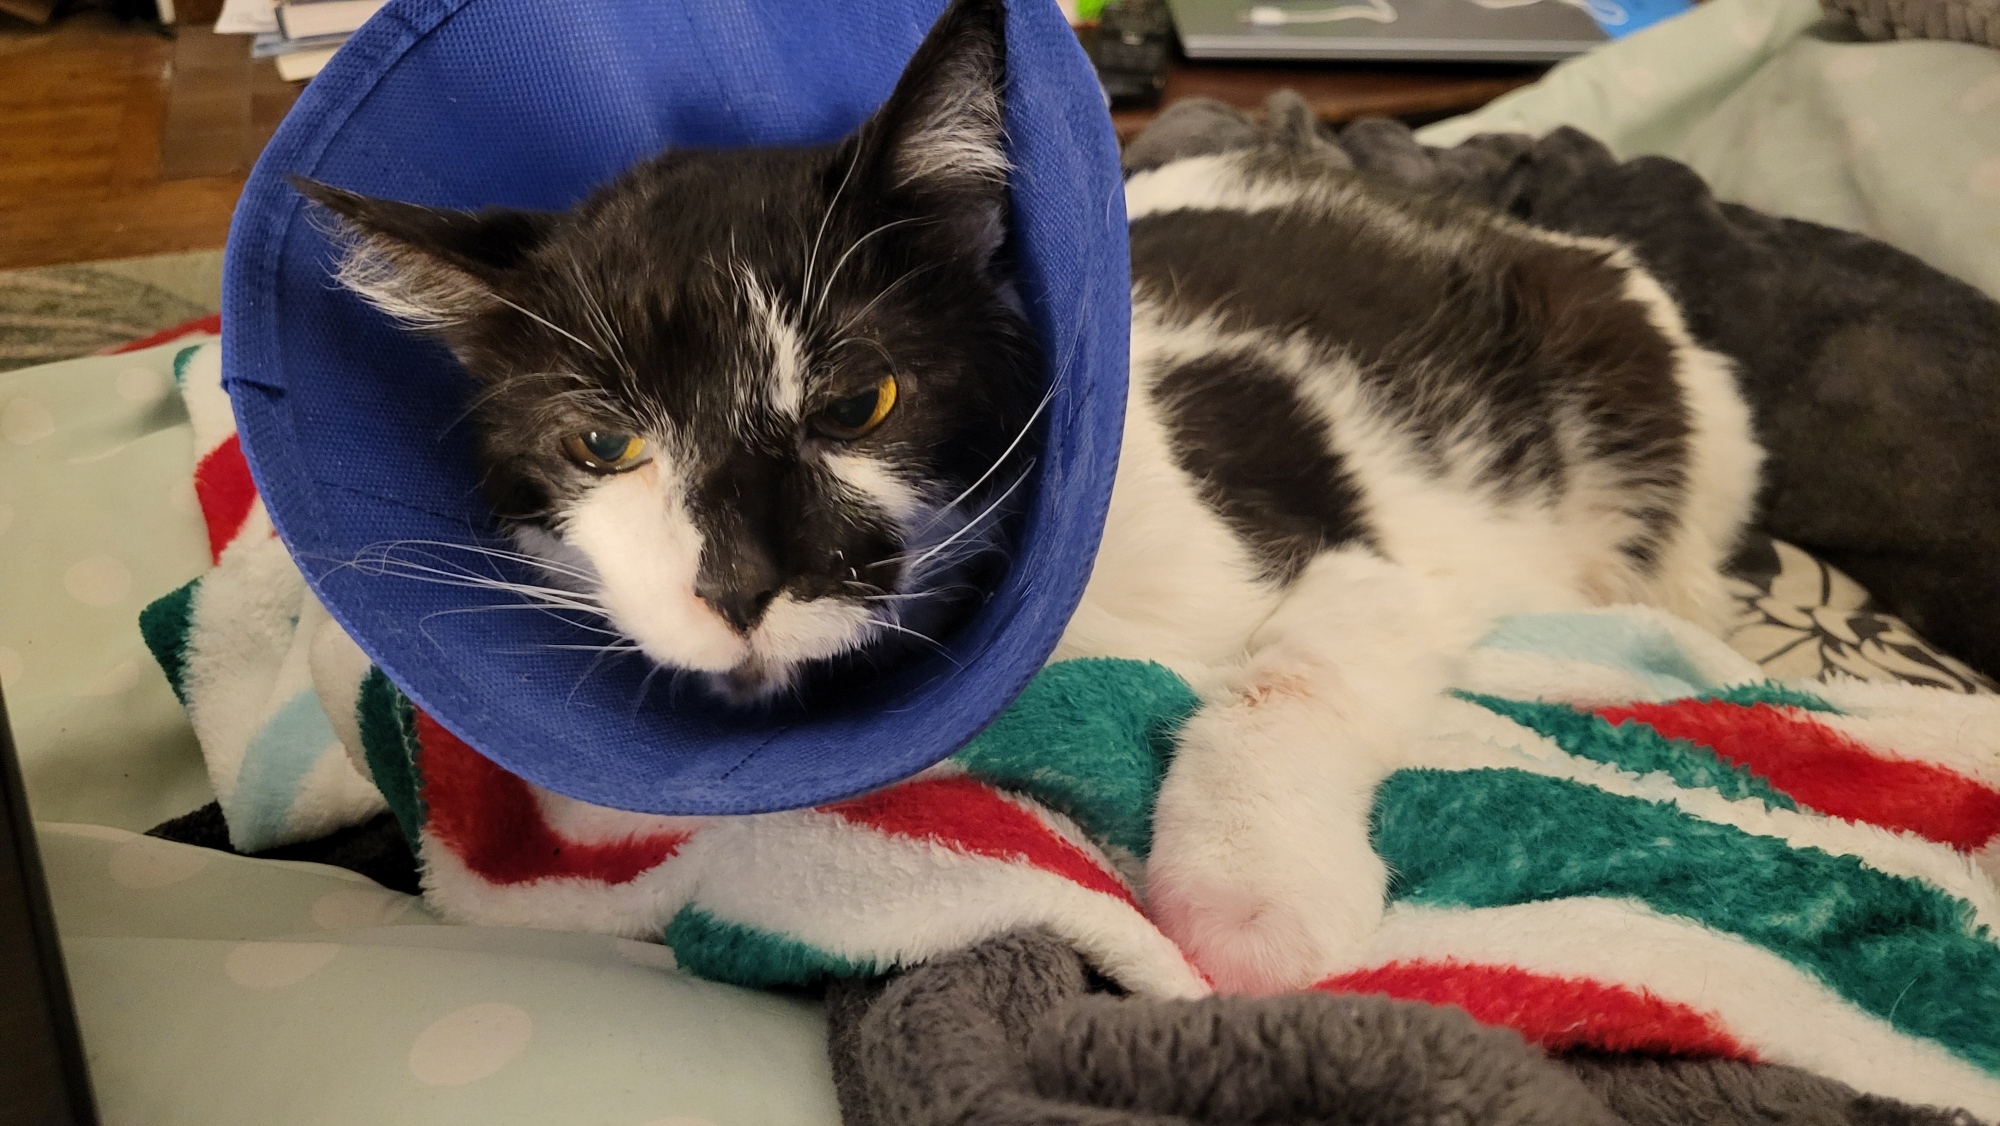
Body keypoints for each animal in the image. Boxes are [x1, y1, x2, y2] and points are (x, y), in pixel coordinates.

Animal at [296, 0, 1762, 993]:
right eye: (603, 442)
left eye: (859, 403)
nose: (739, 583)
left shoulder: (1356, 561)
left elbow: (1296, 666)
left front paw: (1253, 897)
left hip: (1659, 411)